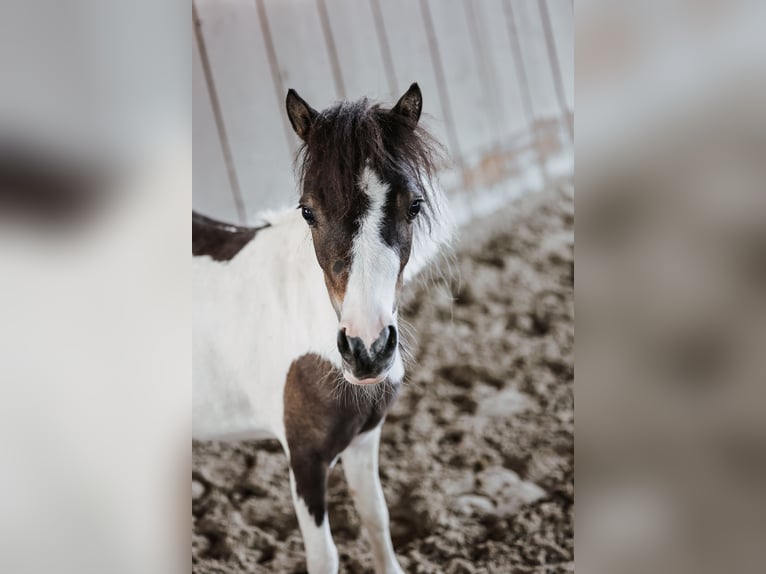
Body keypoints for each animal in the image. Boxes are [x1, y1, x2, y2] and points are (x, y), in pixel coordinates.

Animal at [192, 83, 453, 574]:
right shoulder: (305, 460)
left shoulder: (365, 438)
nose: (367, 349)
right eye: (308, 211)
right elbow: (325, 555)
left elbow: (376, 517)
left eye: (414, 205)